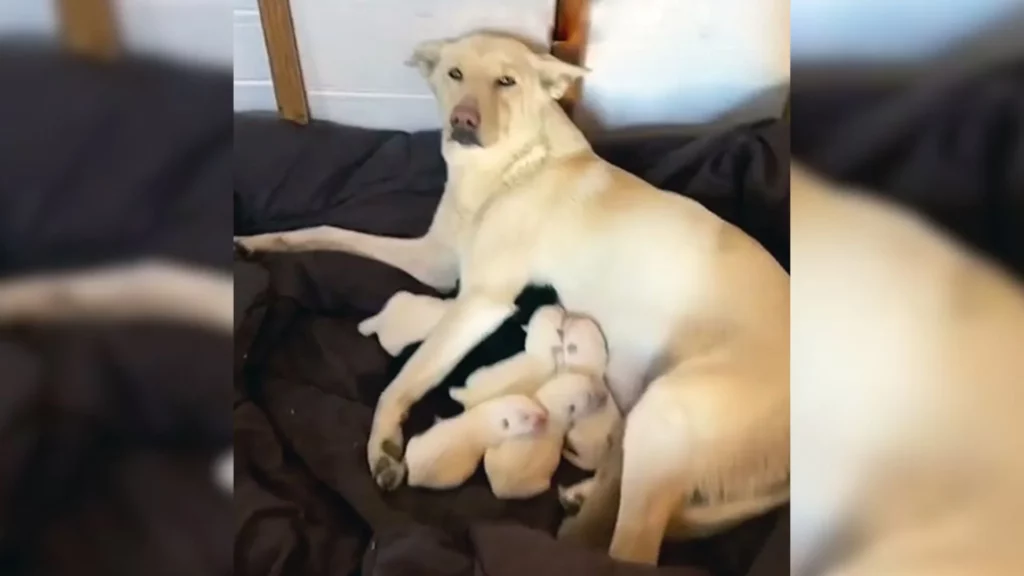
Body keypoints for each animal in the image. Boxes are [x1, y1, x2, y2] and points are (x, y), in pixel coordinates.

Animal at [234, 30, 790, 561]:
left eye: (507, 81)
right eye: (455, 73)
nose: (462, 120)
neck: (513, 167)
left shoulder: (481, 301)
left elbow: (406, 378)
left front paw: (383, 443)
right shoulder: (436, 262)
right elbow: (328, 231)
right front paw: (257, 242)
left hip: (666, 413)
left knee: (633, 547)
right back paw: (584, 495)